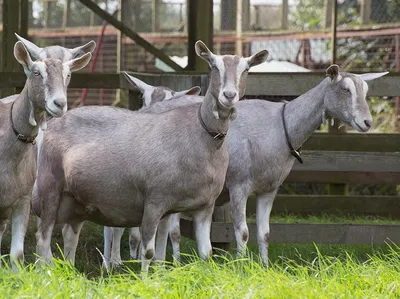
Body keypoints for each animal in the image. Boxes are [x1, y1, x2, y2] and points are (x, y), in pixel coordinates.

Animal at [31, 39, 268, 272]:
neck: (201, 136)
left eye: (247, 69)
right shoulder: (154, 200)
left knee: (69, 235)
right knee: (42, 238)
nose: (229, 96)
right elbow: (148, 251)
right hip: (50, 188)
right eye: (213, 66)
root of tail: (52, 124)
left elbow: (206, 253)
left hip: (76, 200)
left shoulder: (204, 206)